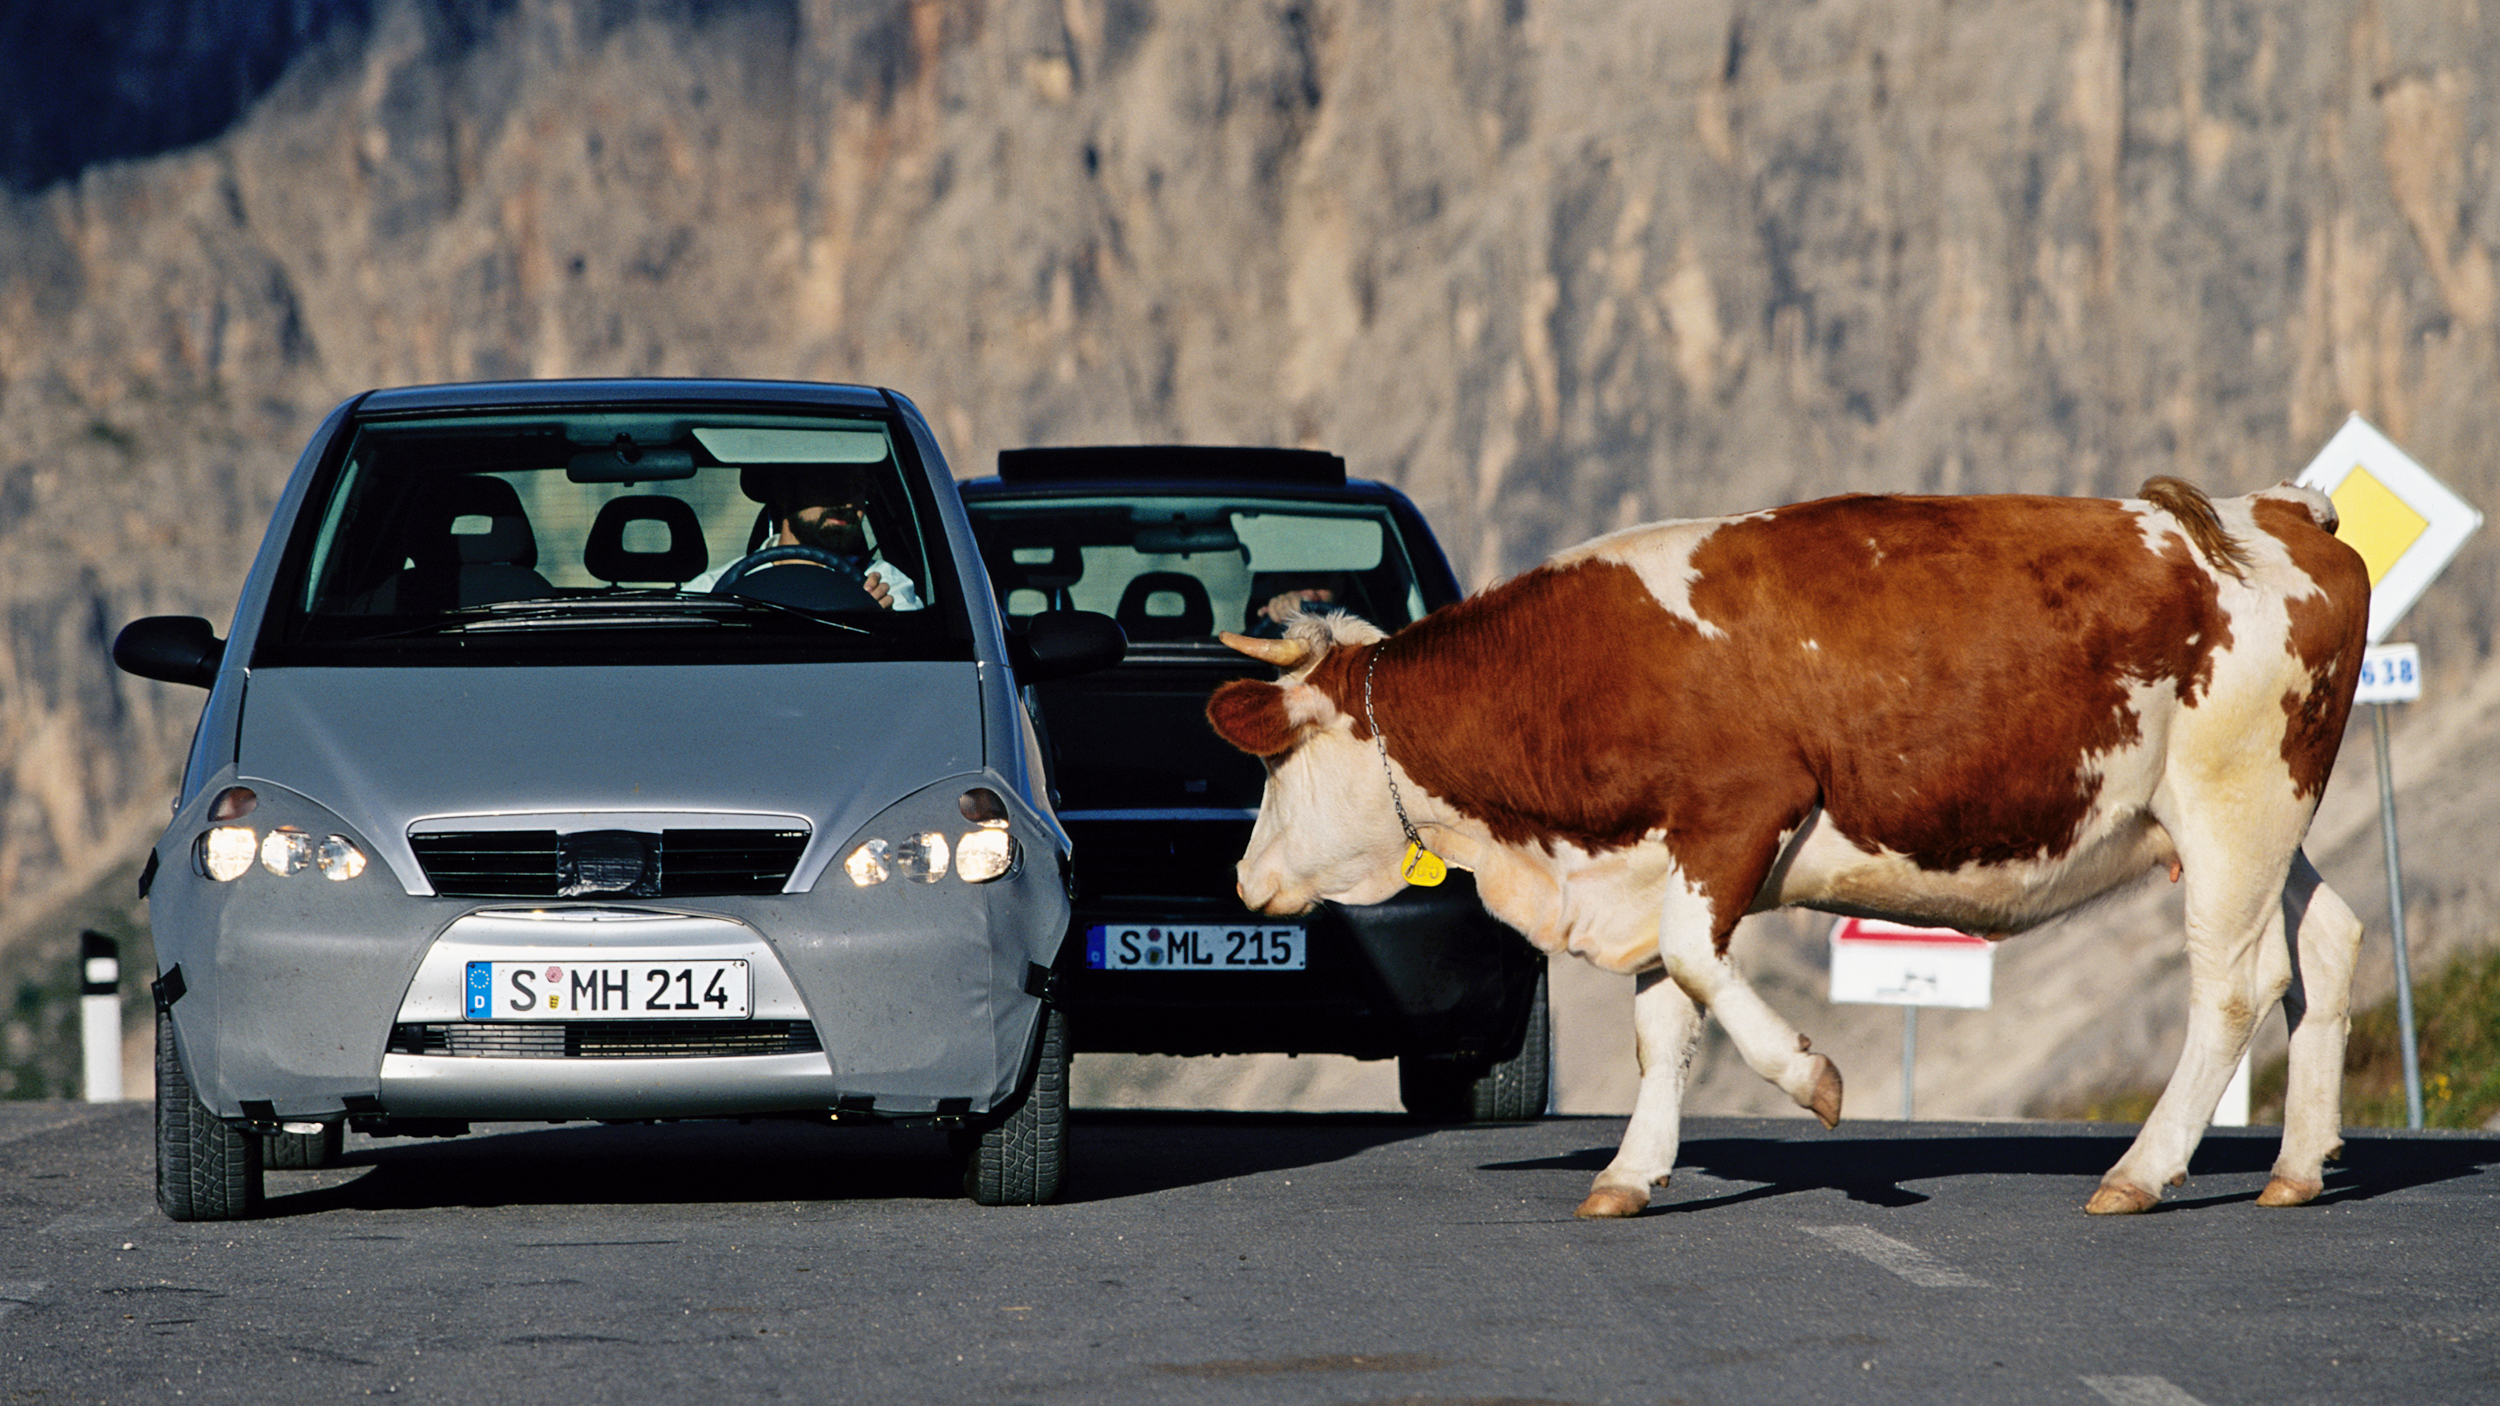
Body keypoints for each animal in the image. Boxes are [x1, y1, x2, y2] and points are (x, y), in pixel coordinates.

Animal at [1207, 479, 2371, 1218]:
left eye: (1276, 764)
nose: (1244, 877)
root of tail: (2273, 506)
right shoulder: (1650, 859)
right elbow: (1664, 1020)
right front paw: (1629, 1174)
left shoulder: (1736, 812)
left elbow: (1694, 965)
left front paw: (1814, 1079)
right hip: (2270, 824)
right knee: (2325, 945)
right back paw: (2297, 1168)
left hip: (2232, 805)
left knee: (2234, 984)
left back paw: (2140, 1170)